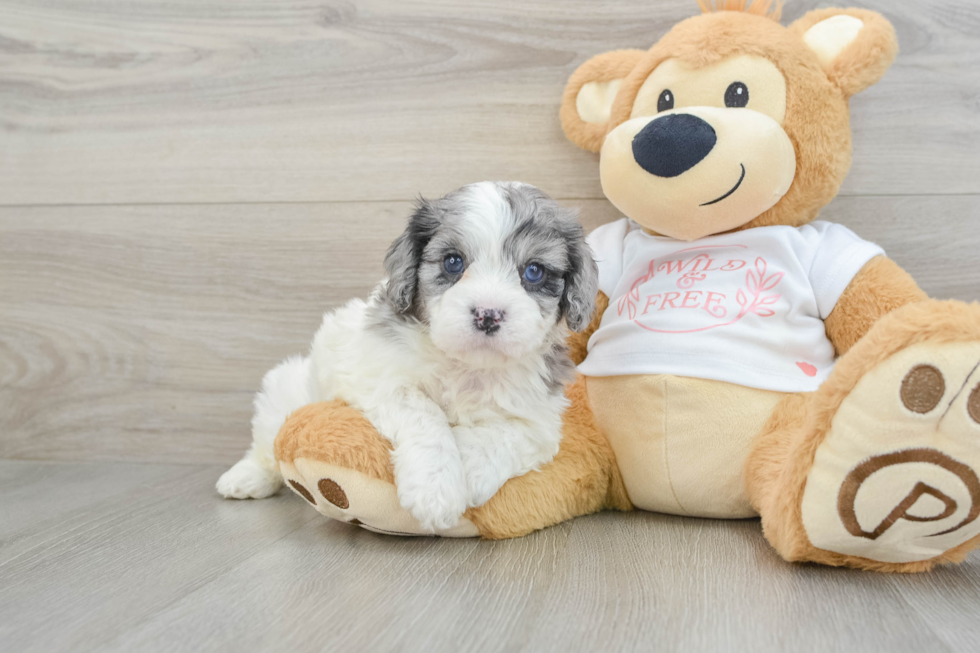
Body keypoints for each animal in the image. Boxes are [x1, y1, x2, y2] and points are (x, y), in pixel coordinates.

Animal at [216, 180, 596, 528]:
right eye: (453, 262)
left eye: (534, 271)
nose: (488, 314)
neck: (468, 367)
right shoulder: (381, 377)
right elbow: (424, 414)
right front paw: (436, 487)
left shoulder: (541, 419)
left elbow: (508, 434)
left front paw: (469, 470)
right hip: (286, 388)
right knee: (267, 444)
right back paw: (245, 478)